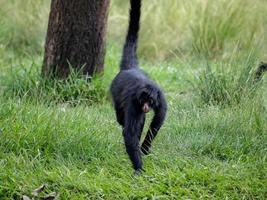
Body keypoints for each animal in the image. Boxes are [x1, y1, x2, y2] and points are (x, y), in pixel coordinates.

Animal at [111, 0, 168, 173]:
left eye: (150, 101)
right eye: (144, 100)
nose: (145, 106)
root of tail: (131, 69)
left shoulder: (160, 96)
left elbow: (159, 117)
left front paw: (144, 148)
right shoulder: (133, 102)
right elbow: (129, 133)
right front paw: (139, 168)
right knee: (121, 118)